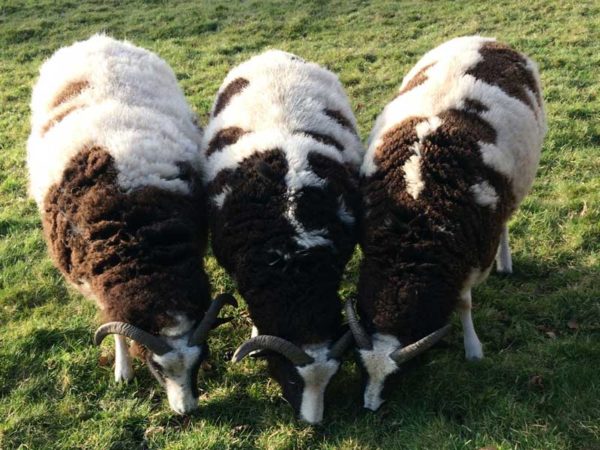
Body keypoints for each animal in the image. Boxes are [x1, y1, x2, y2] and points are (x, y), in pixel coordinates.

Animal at [27, 35, 236, 414]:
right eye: (156, 366)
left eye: (199, 362)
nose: (186, 411)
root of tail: (99, 39)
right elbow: (115, 328)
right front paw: (122, 371)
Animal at [346, 36, 548, 412]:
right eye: (359, 365)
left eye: (400, 374)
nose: (369, 406)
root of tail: (484, 38)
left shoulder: (469, 255)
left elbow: (464, 304)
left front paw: (473, 349)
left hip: (511, 193)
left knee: (506, 224)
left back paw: (506, 263)